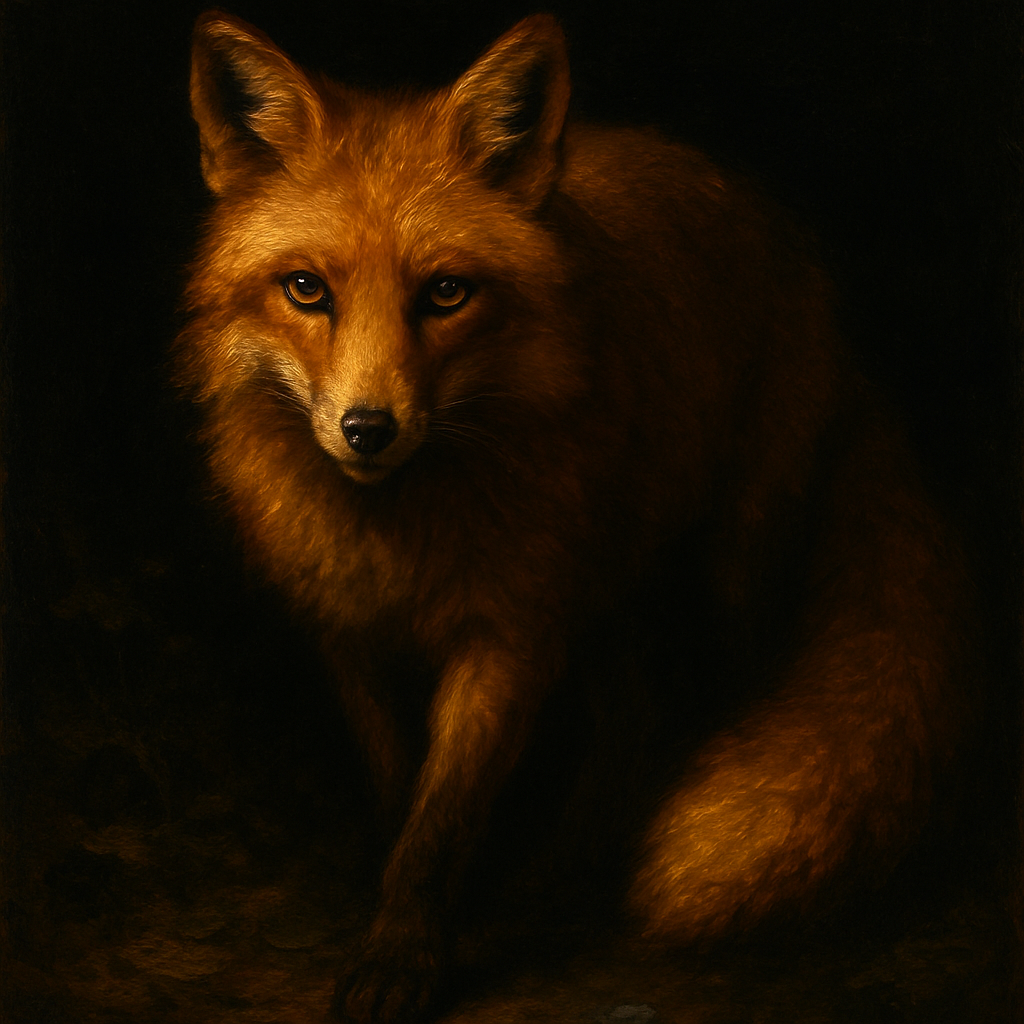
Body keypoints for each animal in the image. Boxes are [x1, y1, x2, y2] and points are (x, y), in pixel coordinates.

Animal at [178, 11, 973, 1023]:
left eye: (446, 292)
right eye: (307, 289)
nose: (368, 429)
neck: (399, 533)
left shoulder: (509, 637)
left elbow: (443, 817)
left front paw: (406, 952)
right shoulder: (346, 632)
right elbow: (402, 791)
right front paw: (406, 908)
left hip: (721, 576)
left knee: (685, 709)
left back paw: (581, 877)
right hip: (607, 594)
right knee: (631, 718)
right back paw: (566, 866)